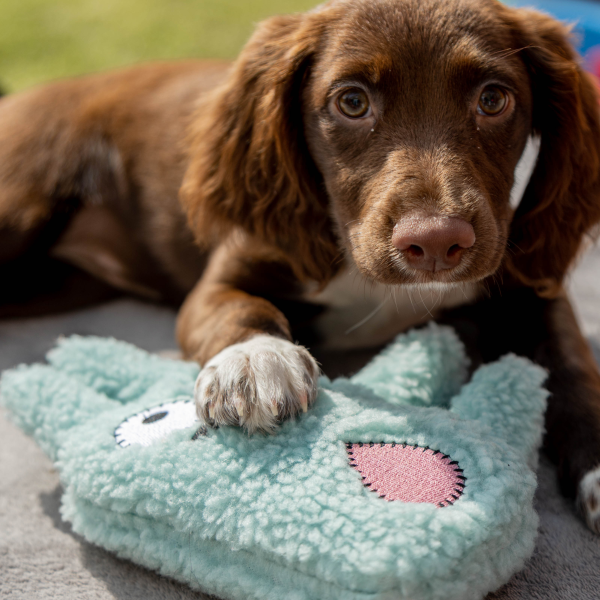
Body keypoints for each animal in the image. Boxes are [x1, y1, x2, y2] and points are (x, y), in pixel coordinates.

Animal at [1, 0, 600, 536]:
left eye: (494, 99)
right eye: (352, 102)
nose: (435, 243)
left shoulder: (531, 283)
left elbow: (573, 369)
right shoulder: (221, 281)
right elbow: (240, 308)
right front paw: (255, 363)